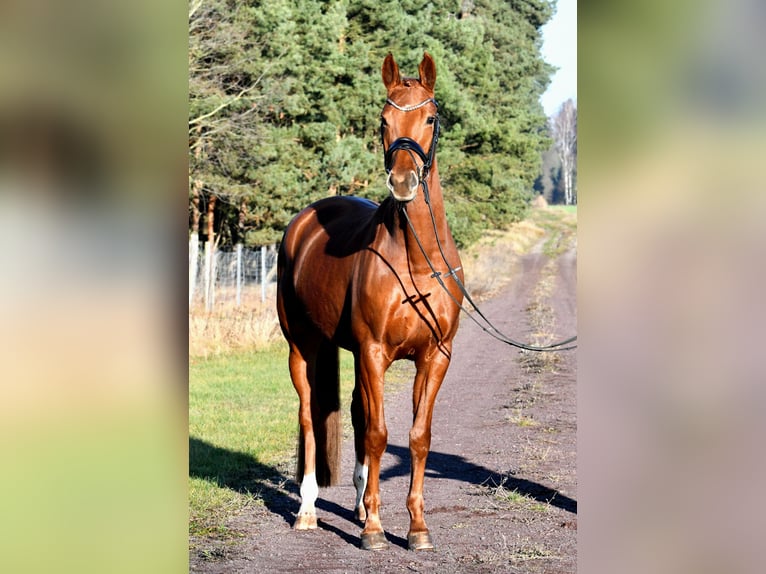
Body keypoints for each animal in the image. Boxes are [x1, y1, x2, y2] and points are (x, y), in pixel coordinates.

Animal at [276, 52, 464, 551]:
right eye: (383, 120)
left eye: (430, 117)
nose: (403, 181)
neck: (416, 261)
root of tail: (302, 223)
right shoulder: (375, 352)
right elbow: (380, 435)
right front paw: (376, 530)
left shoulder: (434, 357)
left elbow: (418, 437)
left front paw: (416, 527)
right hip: (303, 349)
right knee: (310, 417)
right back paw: (307, 510)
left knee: (358, 416)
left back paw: (359, 505)